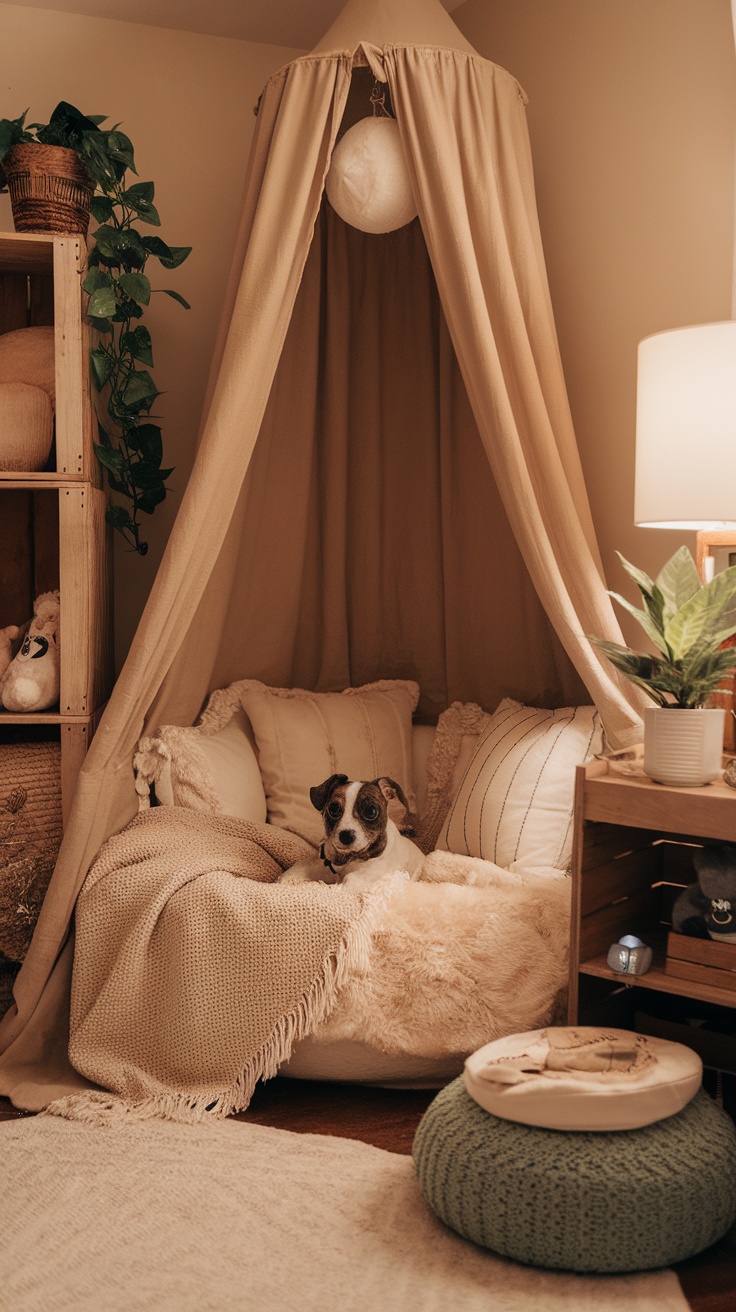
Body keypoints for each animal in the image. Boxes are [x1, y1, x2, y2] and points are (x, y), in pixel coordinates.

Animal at [278, 776, 422, 892]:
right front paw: (288, 878)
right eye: (333, 809)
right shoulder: (324, 865)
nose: (346, 836)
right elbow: (303, 867)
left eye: (371, 811)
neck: (348, 860)